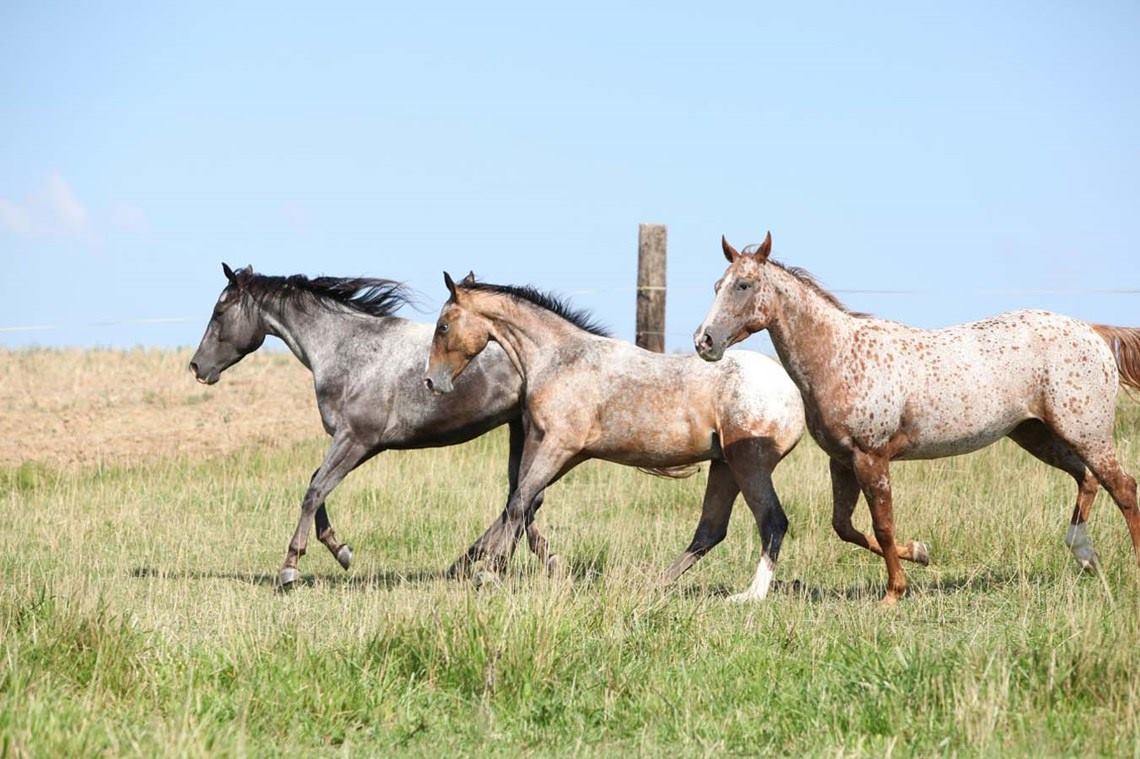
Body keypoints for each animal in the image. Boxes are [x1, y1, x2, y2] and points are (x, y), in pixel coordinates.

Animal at [189, 263, 558, 588]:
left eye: (219, 311)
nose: (196, 367)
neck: (347, 351)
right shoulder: (360, 443)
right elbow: (316, 483)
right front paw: (341, 551)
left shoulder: (356, 440)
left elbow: (314, 491)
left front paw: (290, 568)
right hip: (518, 428)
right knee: (523, 498)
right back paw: (507, 559)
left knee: (524, 498)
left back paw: (480, 561)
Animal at [423, 272, 805, 601]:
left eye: (443, 326)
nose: (431, 381)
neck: (559, 361)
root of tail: (794, 394)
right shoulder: (557, 448)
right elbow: (523, 502)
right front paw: (477, 563)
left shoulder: (559, 446)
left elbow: (519, 503)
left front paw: (490, 571)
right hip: (724, 466)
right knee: (710, 530)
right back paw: (654, 584)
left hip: (748, 465)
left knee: (772, 521)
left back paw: (750, 596)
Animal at [694, 232, 1140, 605]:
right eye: (717, 286)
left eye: (744, 285)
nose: (704, 341)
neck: (840, 356)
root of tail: (1094, 332)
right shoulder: (842, 461)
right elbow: (845, 527)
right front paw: (920, 553)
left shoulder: (871, 458)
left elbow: (882, 525)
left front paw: (894, 592)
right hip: (1037, 435)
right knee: (1087, 479)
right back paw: (1084, 554)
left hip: (1085, 433)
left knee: (1122, 487)